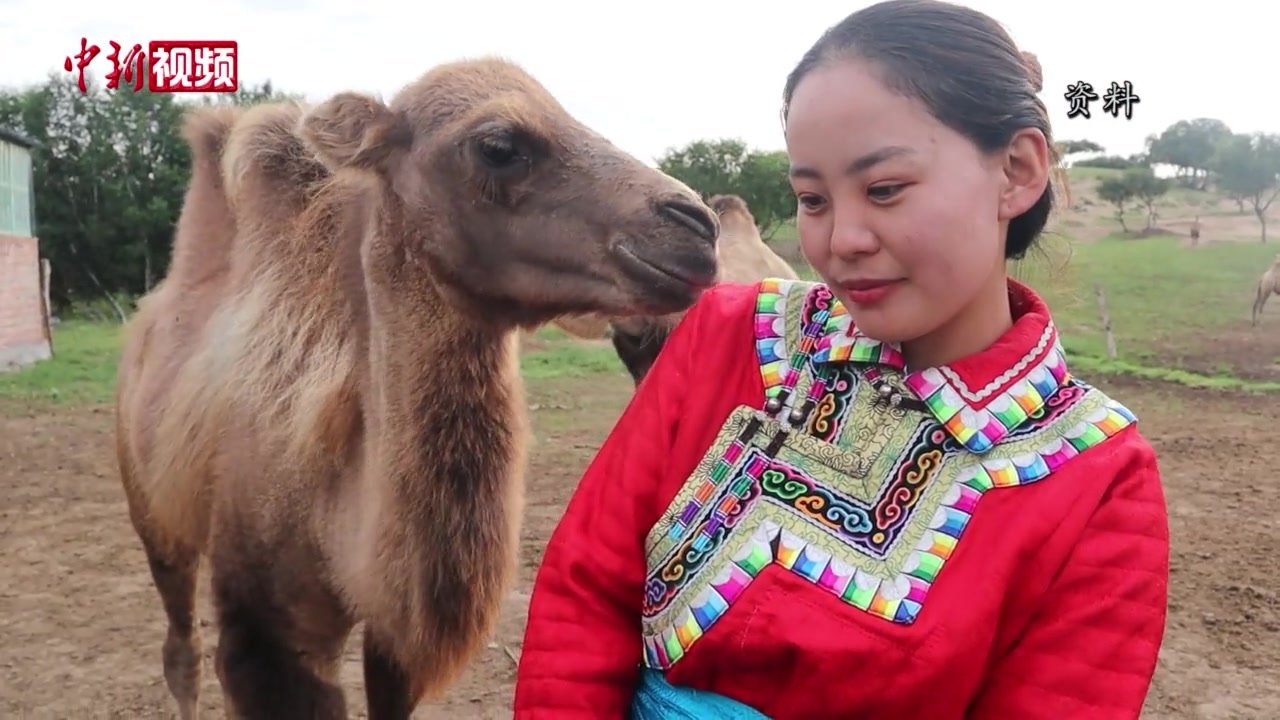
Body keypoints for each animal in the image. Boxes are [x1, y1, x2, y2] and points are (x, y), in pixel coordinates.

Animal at [115, 57, 721, 717]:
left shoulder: (397, 637)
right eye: (498, 146)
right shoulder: (267, 632)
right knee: (181, 644)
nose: (699, 228)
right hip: (151, 506)